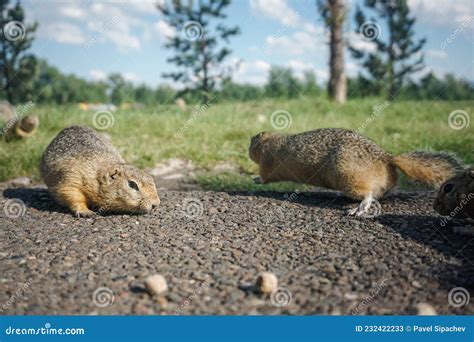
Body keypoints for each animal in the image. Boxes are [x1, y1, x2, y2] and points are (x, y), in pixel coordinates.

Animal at [250, 128, 464, 216]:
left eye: (253, 139)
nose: (248, 147)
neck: (270, 142)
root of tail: (388, 158)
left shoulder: (267, 166)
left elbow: (264, 177)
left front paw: (255, 179)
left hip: (349, 177)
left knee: (368, 195)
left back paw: (359, 209)